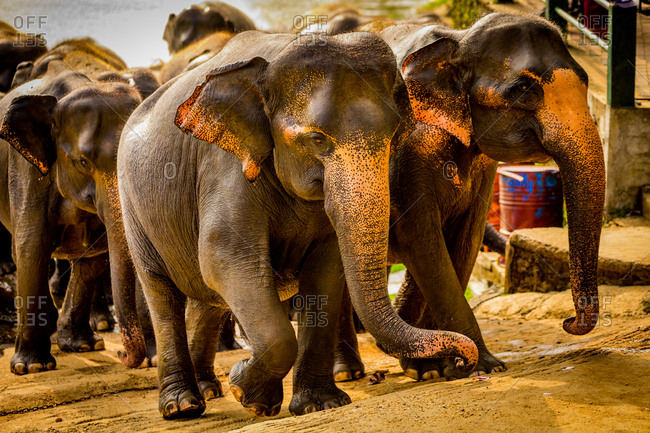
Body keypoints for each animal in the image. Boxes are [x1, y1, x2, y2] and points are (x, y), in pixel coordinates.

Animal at [0, 53, 146, 374]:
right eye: (83, 162)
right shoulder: (25, 166)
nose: (121, 354)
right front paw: (32, 367)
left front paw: (83, 346)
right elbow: (32, 245)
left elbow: (96, 251)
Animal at [112, 29, 478, 419]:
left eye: (395, 135)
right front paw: (243, 387)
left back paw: (214, 391)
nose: (464, 361)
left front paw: (317, 404)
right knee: (162, 293)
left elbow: (326, 268)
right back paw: (183, 406)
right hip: (133, 207)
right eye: (317, 140)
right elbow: (225, 257)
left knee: (207, 299)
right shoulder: (225, 165)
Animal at [334, 12, 605, 382]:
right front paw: (481, 365)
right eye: (524, 90)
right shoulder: (407, 148)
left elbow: (464, 239)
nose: (568, 321)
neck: (458, 40)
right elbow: (420, 238)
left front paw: (431, 368)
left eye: (585, 80)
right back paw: (346, 372)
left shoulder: (483, 168)